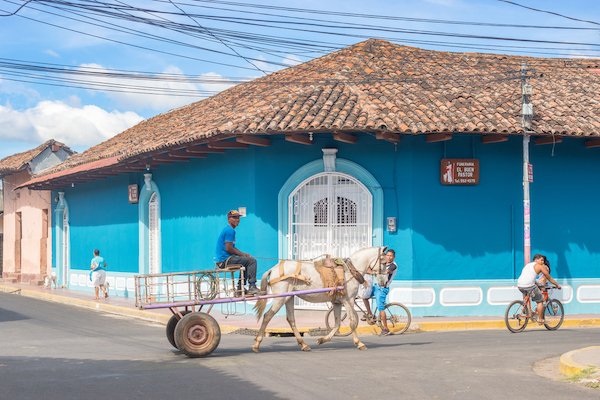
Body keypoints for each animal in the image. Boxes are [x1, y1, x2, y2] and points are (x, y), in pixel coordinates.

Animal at [252, 245, 384, 352]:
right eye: (384, 261)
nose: (383, 282)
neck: (350, 270)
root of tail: (273, 269)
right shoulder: (348, 300)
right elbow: (352, 322)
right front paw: (359, 343)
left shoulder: (337, 302)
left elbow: (337, 324)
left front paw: (322, 340)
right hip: (280, 298)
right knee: (267, 316)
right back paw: (257, 344)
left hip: (288, 297)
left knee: (291, 319)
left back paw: (304, 344)